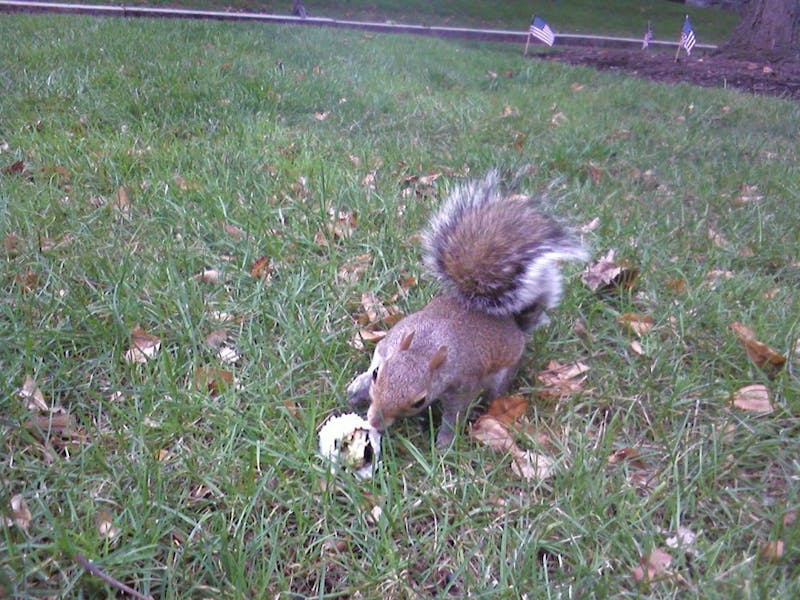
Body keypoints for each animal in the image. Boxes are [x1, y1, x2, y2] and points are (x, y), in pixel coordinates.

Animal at [346, 169, 588, 446]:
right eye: (377, 374)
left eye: (419, 401)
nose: (375, 421)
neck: (426, 347)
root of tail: (513, 324)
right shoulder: (387, 345)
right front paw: (357, 388)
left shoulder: (463, 385)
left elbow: (455, 413)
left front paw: (444, 442)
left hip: (501, 375)